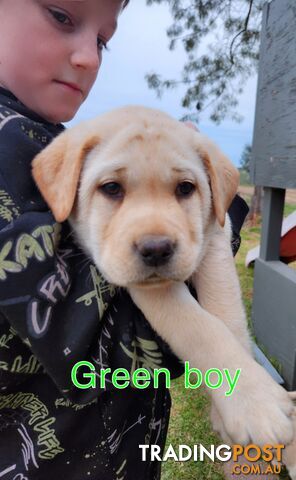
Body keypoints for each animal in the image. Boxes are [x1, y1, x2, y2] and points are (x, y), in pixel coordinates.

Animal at [32, 108, 296, 464]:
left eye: (185, 188)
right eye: (111, 188)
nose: (156, 249)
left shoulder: (215, 236)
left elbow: (227, 317)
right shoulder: (149, 286)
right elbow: (200, 327)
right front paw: (256, 405)